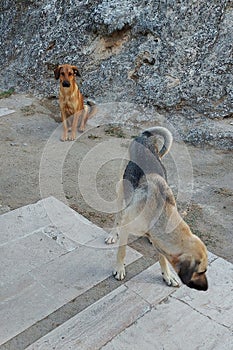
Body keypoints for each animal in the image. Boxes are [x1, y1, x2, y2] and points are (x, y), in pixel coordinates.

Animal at [105, 127, 208, 292]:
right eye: (200, 272)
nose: (206, 289)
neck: (159, 213)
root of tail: (145, 137)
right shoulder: (127, 227)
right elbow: (122, 251)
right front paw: (119, 269)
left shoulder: (161, 244)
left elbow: (162, 258)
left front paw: (167, 276)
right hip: (122, 191)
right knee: (118, 217)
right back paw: (112, 234)